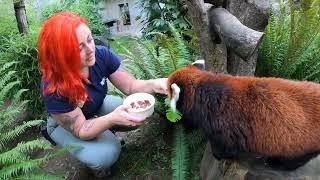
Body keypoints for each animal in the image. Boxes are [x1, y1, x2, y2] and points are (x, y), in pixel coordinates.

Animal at [166, 64, 320, 170]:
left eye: (168, 92)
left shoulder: (222, 122)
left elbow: (226, 146)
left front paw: (218, 155)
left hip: (303, 142)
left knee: (296, 158)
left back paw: (276, 163)